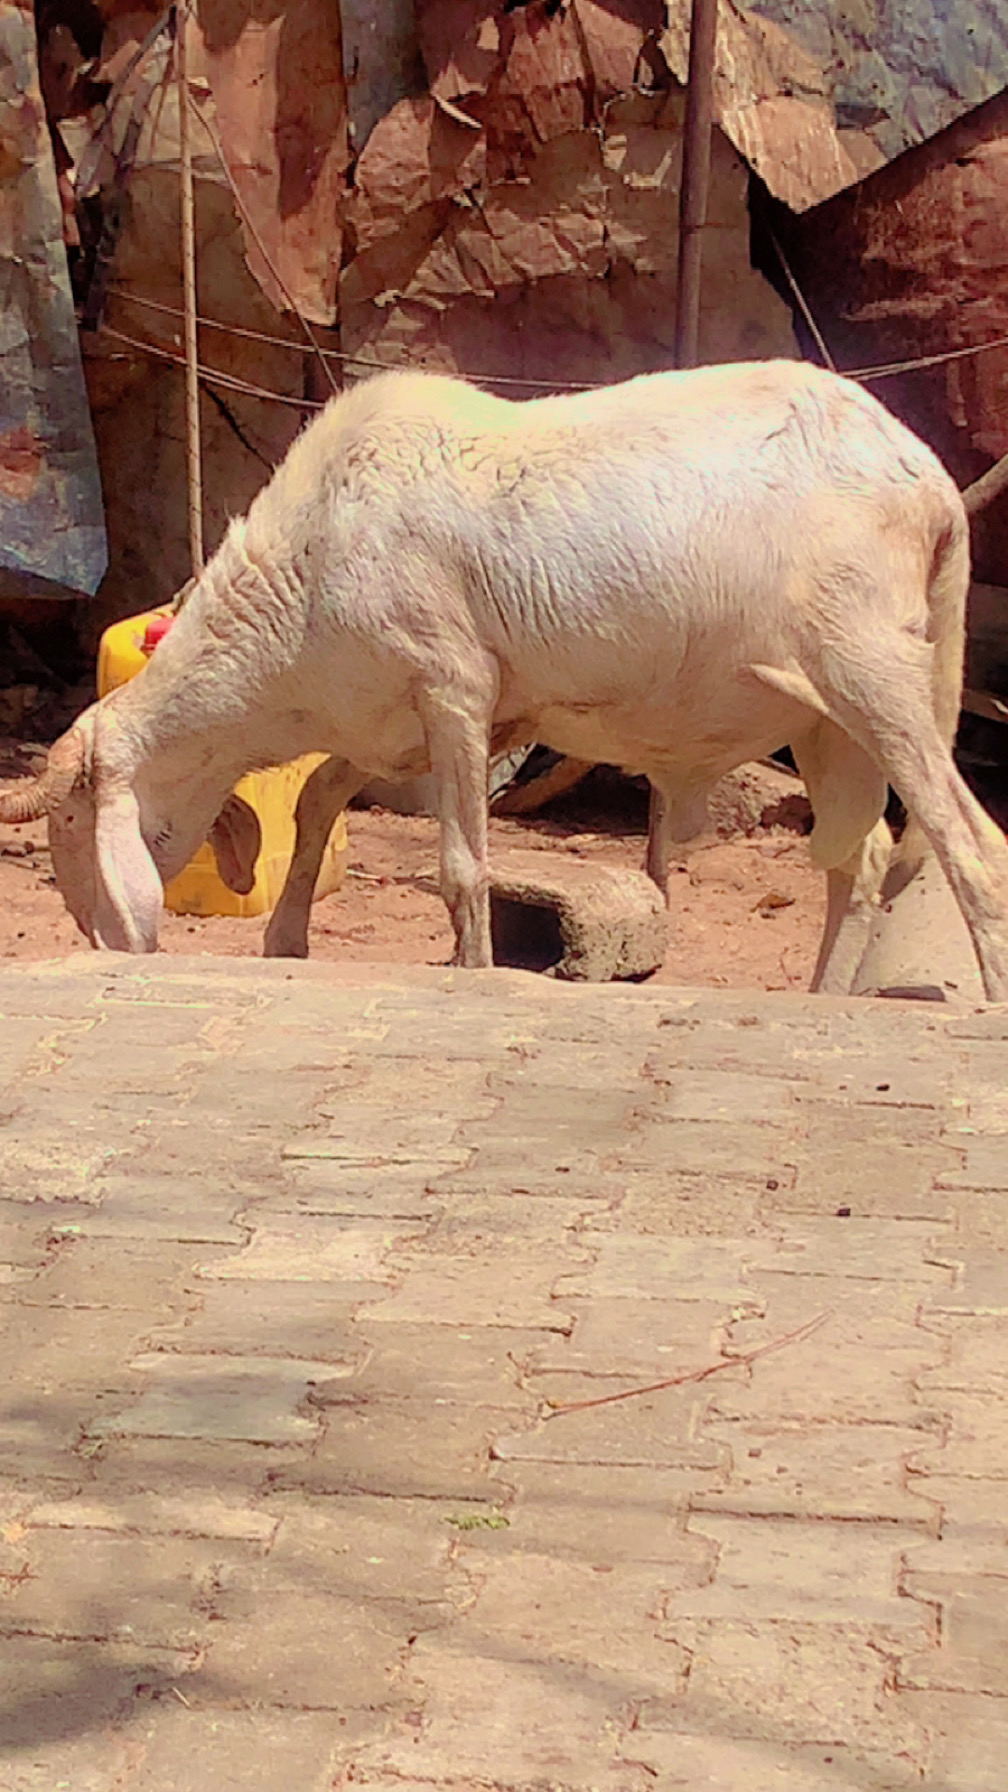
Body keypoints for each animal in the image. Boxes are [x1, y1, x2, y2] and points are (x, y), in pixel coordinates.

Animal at [2, 359, 1006, 998]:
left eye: (67, 821)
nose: (95, 940)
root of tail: (928, 479)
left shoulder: (451, 684)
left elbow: (461, 868)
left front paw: (475, 975)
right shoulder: (411, 718)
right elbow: (320, 799)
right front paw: (285, 942)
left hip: (871, 665)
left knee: (971, 849)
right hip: (823, 715)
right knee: (859, 864)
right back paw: (825, 999)